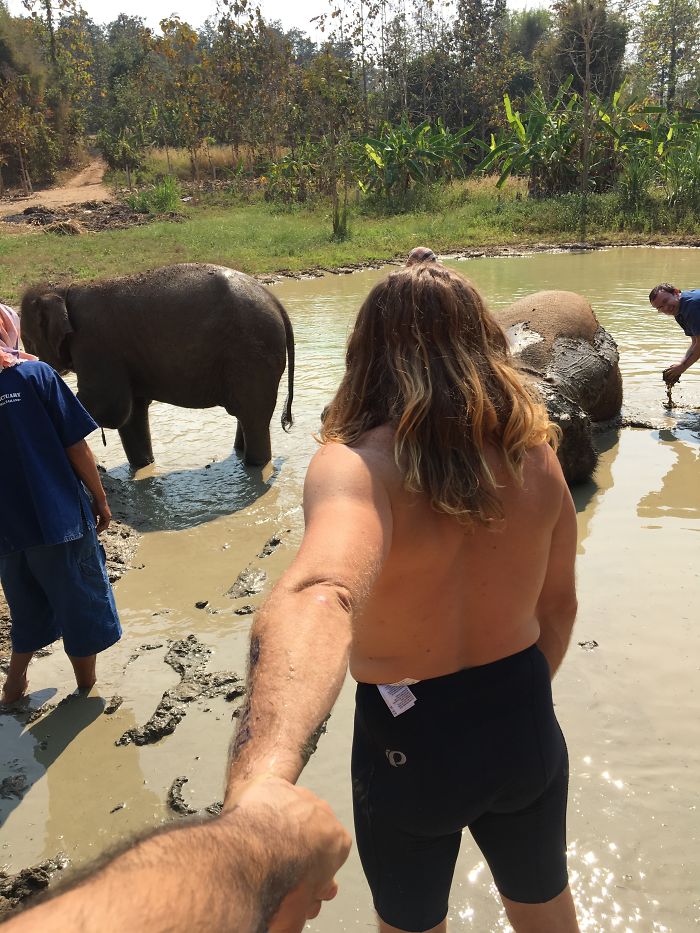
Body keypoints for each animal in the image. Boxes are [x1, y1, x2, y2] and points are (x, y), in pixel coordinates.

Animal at [19, 262, 292, 470]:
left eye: (28, 342)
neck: (66, 288)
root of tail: (276, 303)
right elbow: (132, 410)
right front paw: (142, 466)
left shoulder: (94, 342)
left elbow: (109, 406)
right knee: (246, 416)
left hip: (252, 354)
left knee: (253, 416)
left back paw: (254, 466)